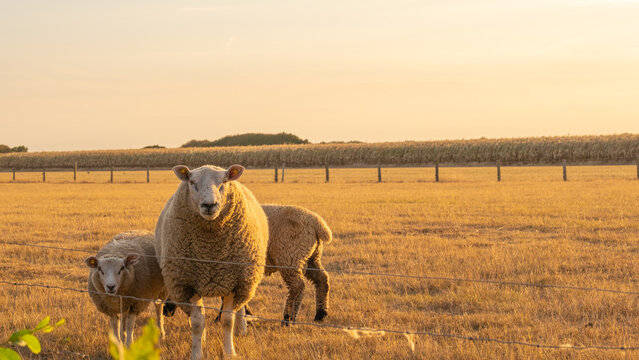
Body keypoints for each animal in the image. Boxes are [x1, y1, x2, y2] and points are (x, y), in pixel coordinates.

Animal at [156, 165, 268, 358]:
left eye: (223, 182)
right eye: (192, 182)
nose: (209, 205)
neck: (210, 252)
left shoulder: (233, 282)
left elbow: (227, 320)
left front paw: (229, 352)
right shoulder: (188, 284)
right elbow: (197, 322)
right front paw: (196, 353)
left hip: (245, 281)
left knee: (240, 308)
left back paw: (241, 330)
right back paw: (203, 338)